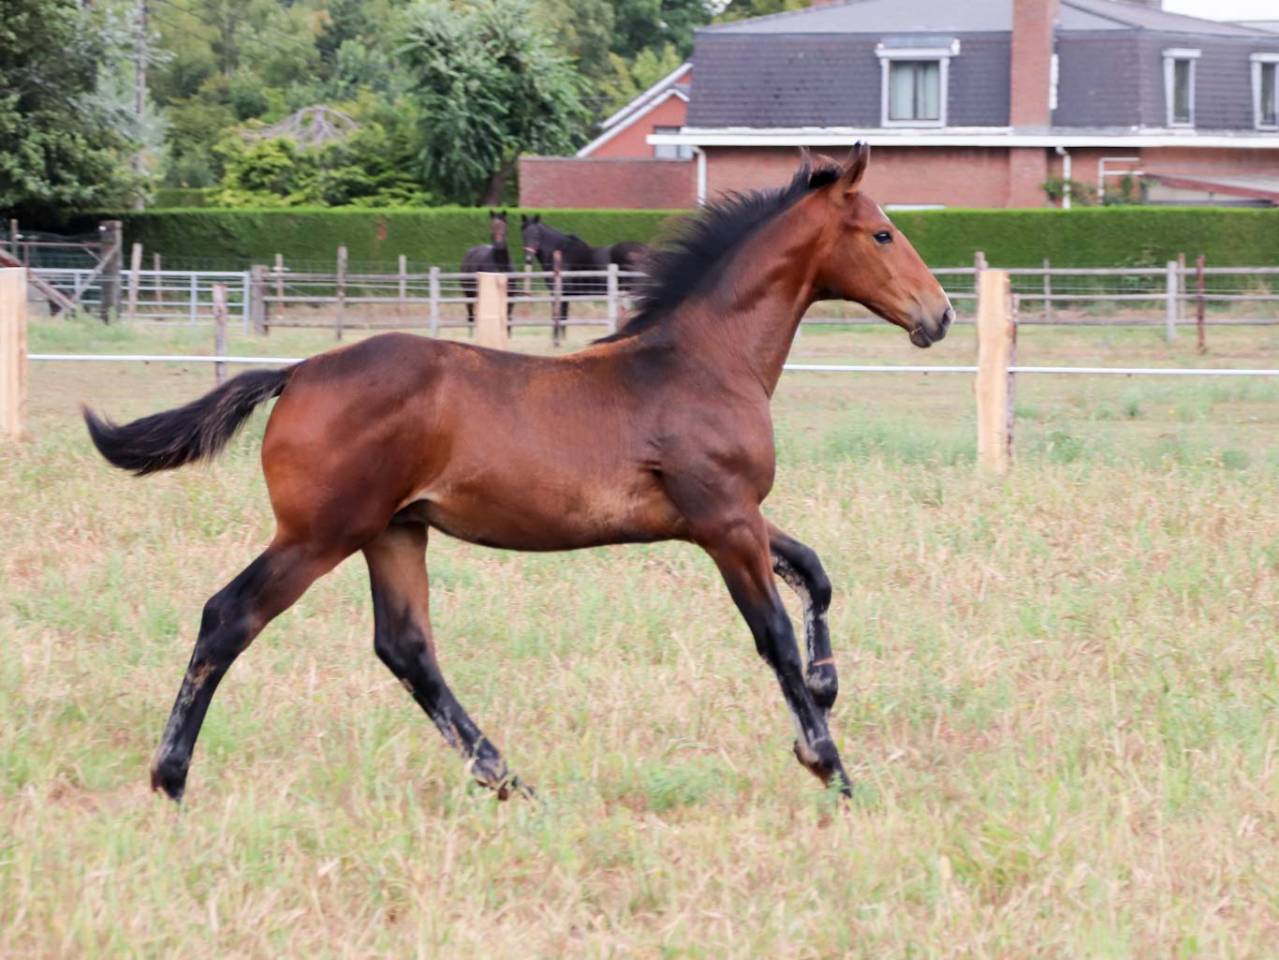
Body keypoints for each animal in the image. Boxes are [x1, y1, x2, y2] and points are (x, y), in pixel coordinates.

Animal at [520, 215, 650, 339]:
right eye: (524, 234)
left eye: (536, 233)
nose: (528, 259)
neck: (561, 253)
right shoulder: (565, 295)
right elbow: (564, 319)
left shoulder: (559, 292)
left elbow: (559, 317)